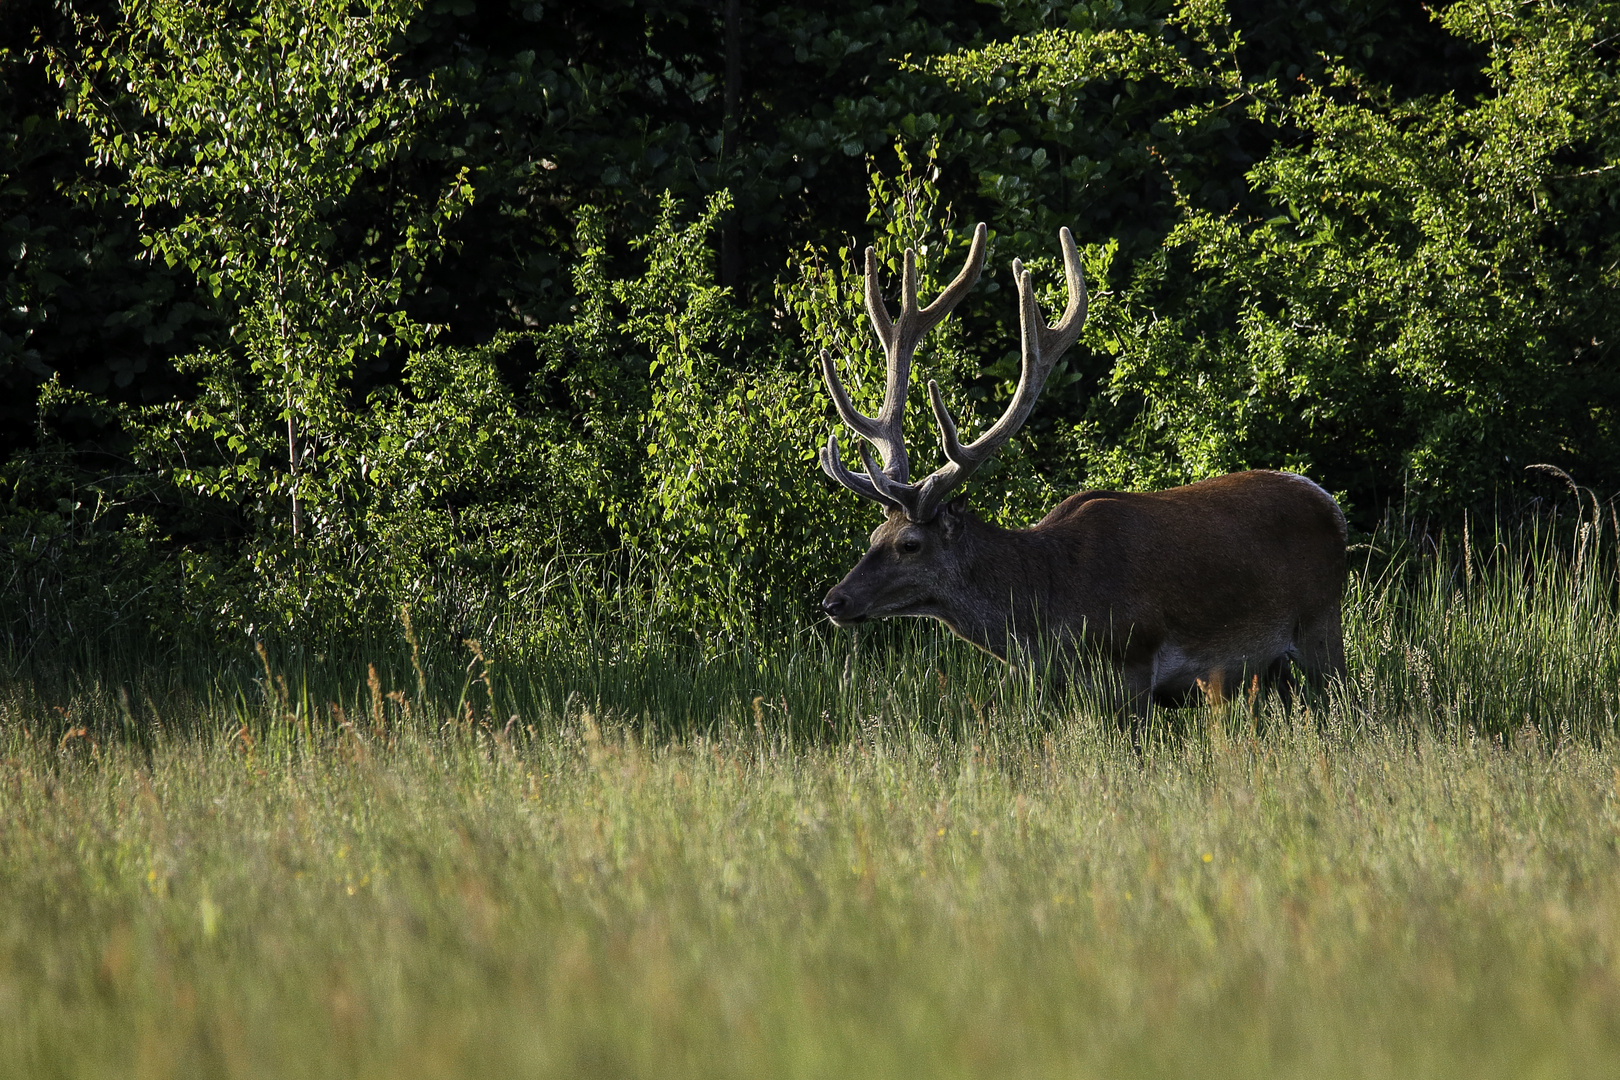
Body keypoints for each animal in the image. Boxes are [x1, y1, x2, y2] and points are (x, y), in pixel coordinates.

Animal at [816, 223, 1347, 712]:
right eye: (873, 537)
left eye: (910, 544)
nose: (833, 601)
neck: (1048, 615)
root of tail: (1329, 503)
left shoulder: (1134, 662)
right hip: (1276, 665)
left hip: (1322, 622)